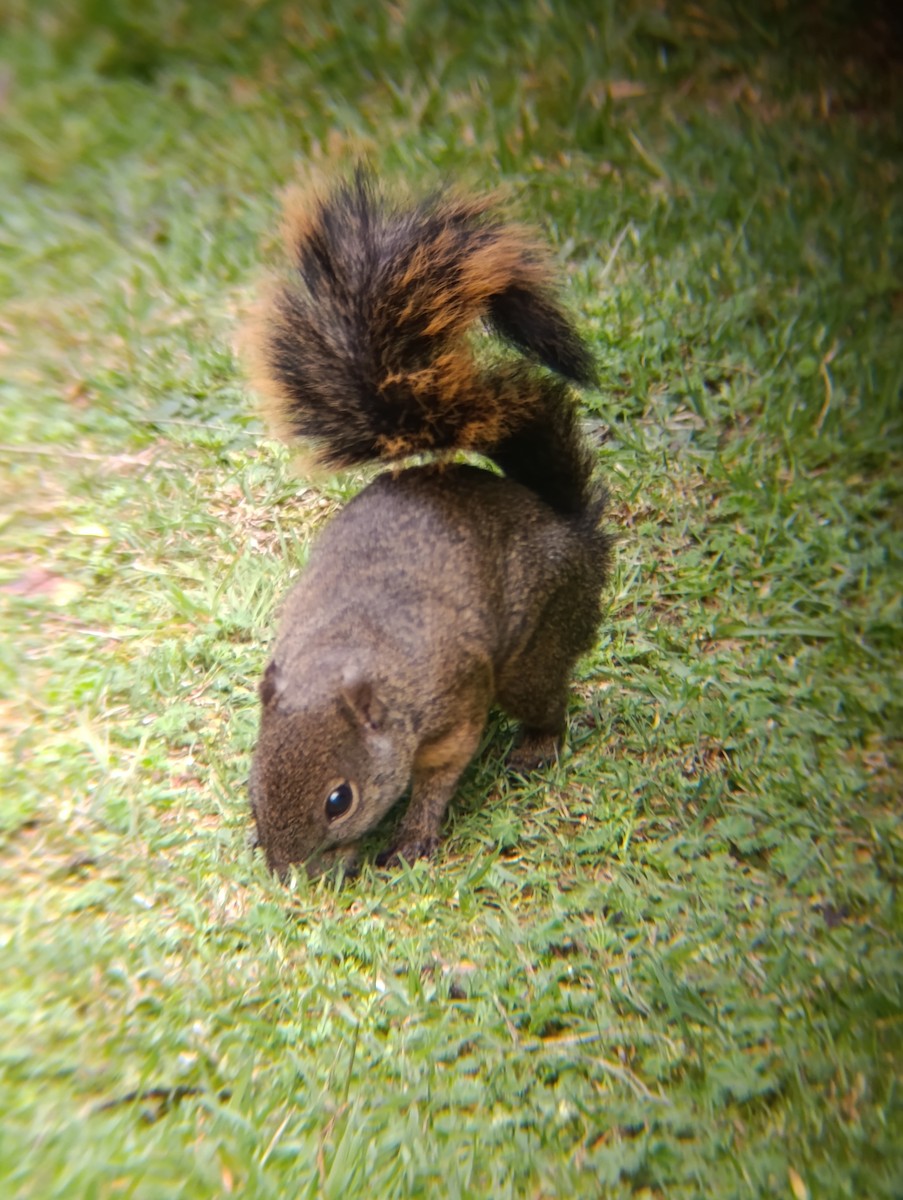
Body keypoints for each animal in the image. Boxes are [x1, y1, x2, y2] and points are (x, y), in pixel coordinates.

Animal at [243, 169, 611, 877]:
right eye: (254, 782)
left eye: (339, 800)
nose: (288, 871)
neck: (350, 648)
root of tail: (569, 524)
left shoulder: (455, 703)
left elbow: (439, 775)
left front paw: (412, 835)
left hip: (535, 648)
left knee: (548, 700)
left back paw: (536, 745)